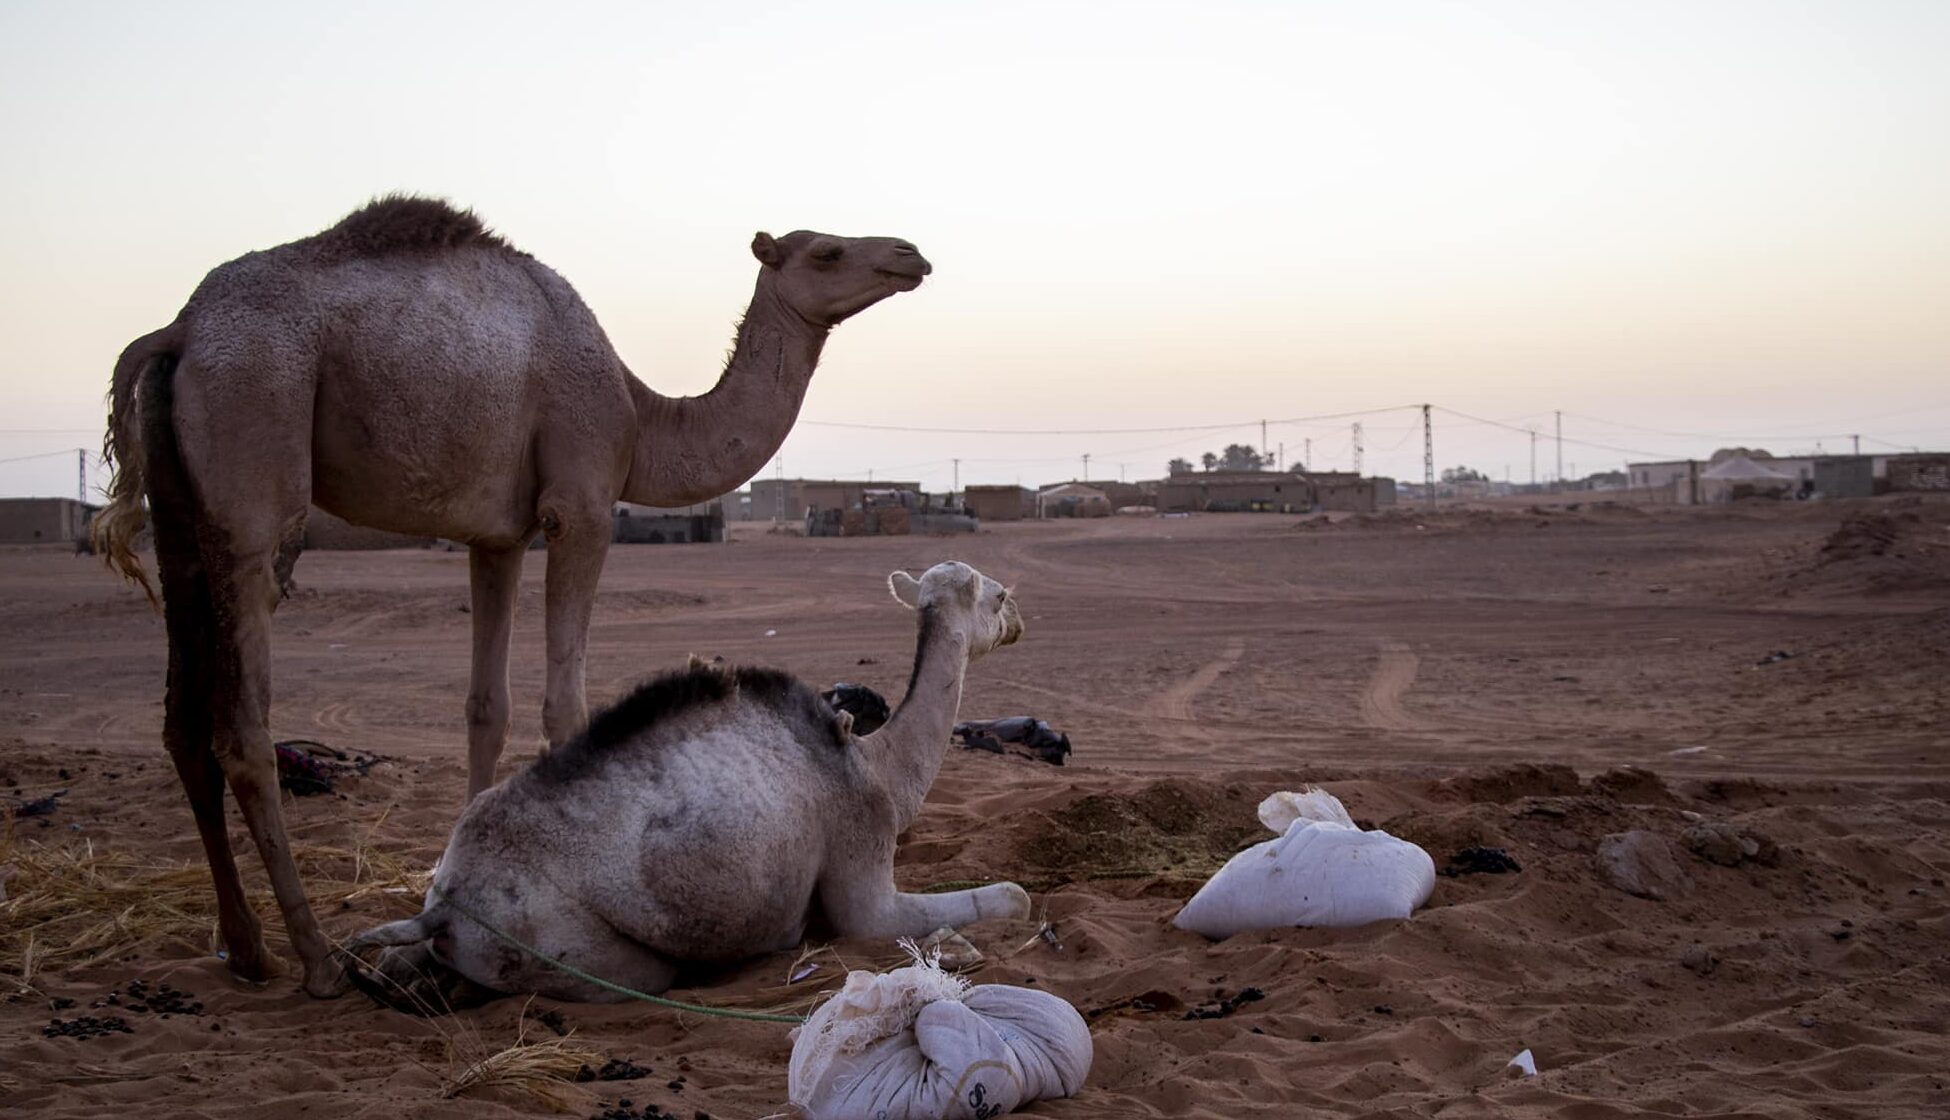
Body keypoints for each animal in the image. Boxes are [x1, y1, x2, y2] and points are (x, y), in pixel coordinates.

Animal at [95, 197, 932, 995]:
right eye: (827, 250)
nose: (911, 254)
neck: (640, 417)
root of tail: (177, 333)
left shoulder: (494, 536)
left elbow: (485, 709)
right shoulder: (582, 501)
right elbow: (564, 706)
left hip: (182, 512)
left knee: (182, 721)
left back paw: (244, 949)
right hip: (255, 445)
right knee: (243, 723)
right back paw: (316, 960)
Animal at [349, 561, 1029, 999]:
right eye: (997, 597)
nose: (1020, 619)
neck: (877, 766)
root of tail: (446, 908)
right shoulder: (861, 864)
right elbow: (1008, 897)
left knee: (401, 954)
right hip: (562, 944)